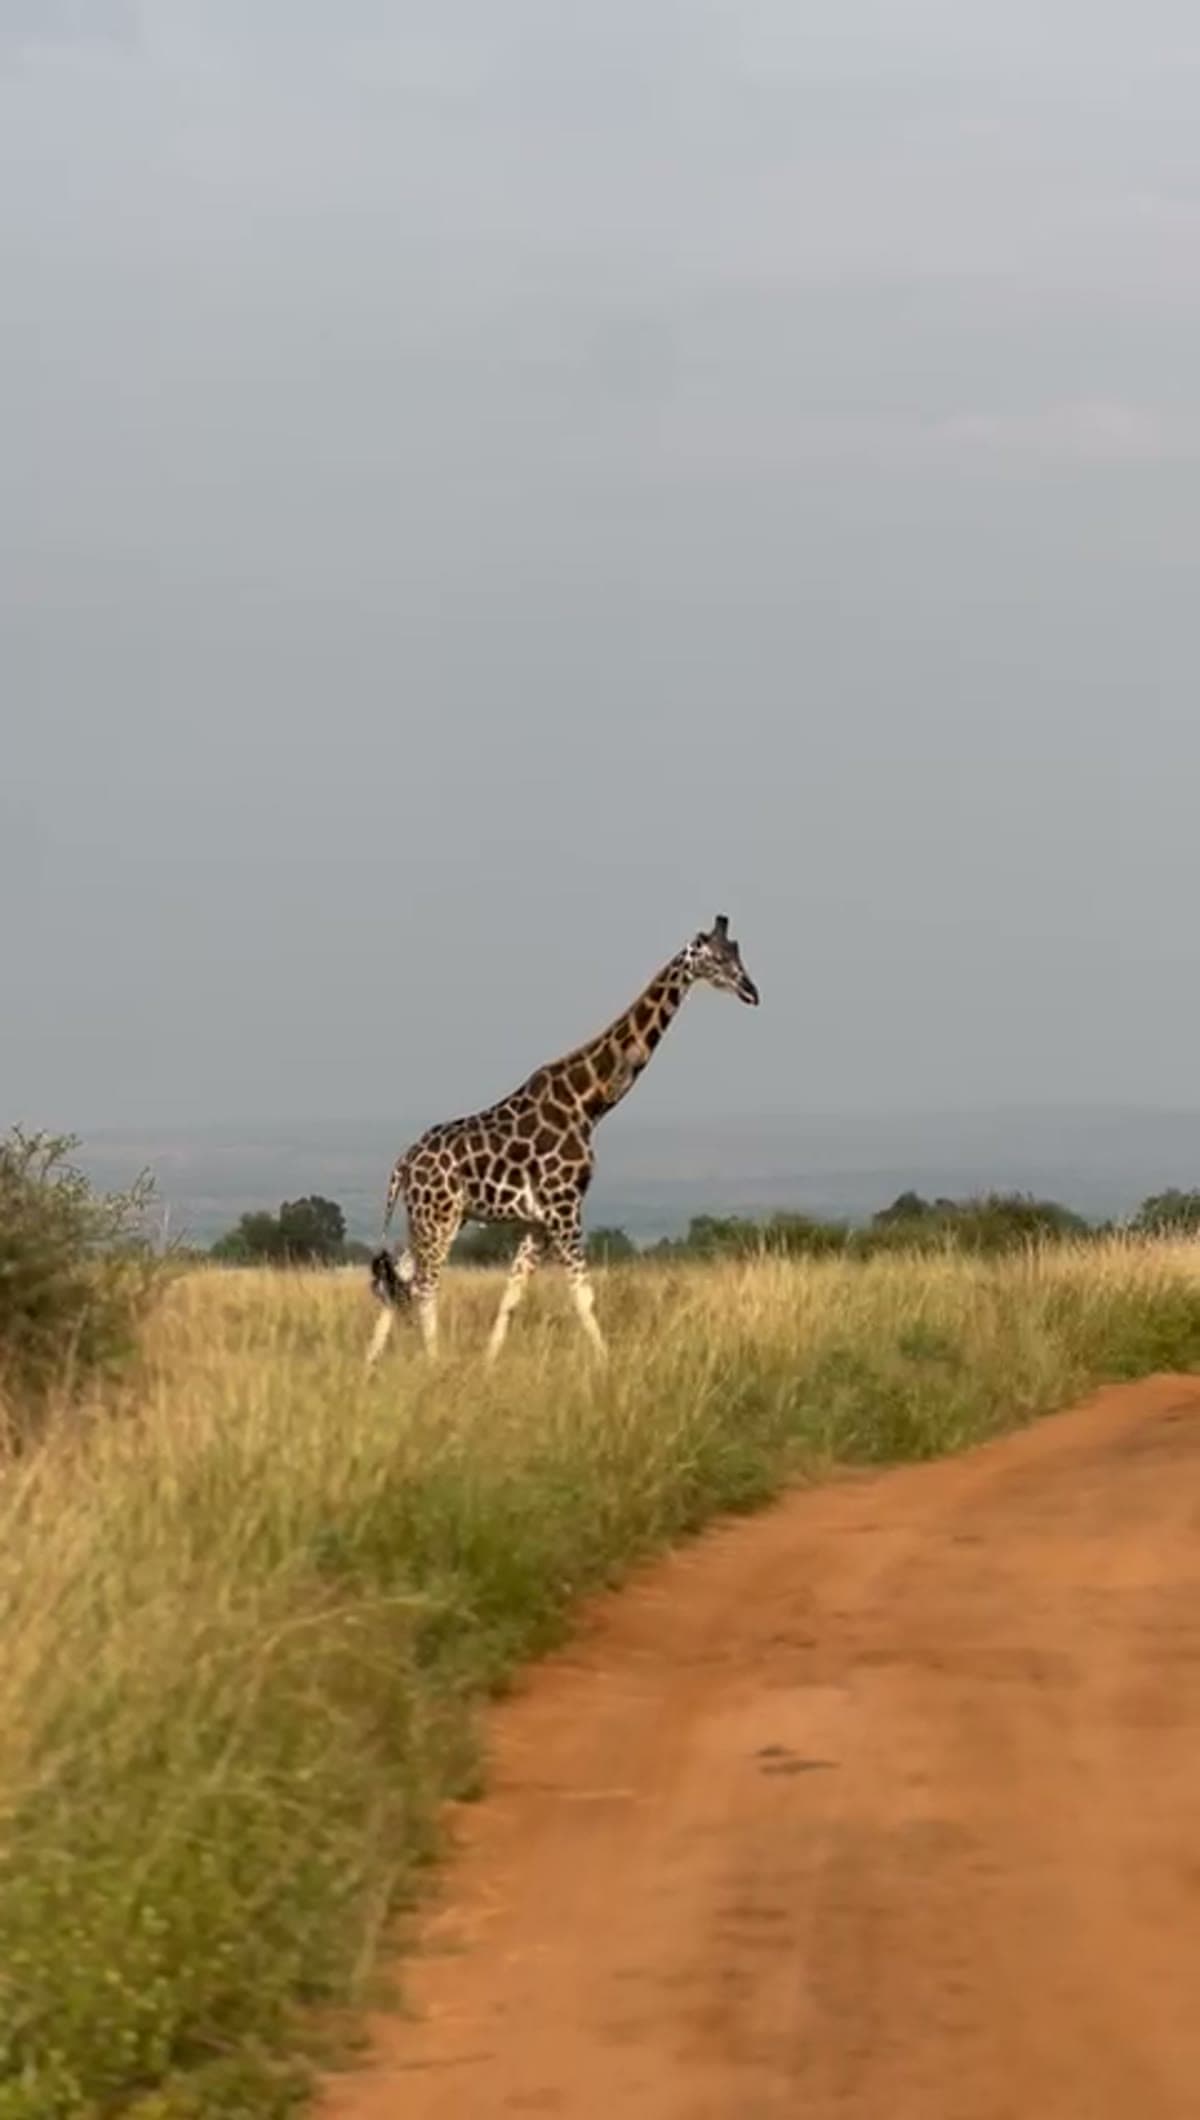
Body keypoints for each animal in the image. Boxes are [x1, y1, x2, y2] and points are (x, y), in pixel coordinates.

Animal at [366, 915, 760, 1366]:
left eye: (737, 951)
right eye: (715, 958)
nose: (752, 991)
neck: (588, 1103)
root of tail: (403, 1164)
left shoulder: (537, 1220)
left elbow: (512, 1297)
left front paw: (489, 1363)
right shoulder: (564, 1205)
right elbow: (583, 1294)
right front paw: (606, 1362)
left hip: (437, 1215)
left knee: (398, 1280)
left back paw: (370, 1363)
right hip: (439, 1215)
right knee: (424, 1285)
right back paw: (435, 1360)